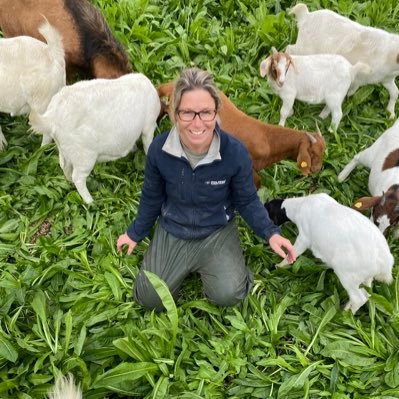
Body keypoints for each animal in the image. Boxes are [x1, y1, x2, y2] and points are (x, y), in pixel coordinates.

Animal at [29, 72, 161, 203]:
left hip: (65, 149)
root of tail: (51, 118)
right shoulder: (149, 126)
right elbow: (148, 144)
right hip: (84, 156)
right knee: (78, 177)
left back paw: (69, 182)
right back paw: (90, 201)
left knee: (64, 165)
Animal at [158, 81, 326, 189]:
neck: (267, 138)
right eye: (312, 152)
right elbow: (256, 185)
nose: (317, 169)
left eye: (324, 151)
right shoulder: (249, 168)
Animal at [266, 195, 394, 316]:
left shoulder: (304, 238)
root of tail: (386, 263)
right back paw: (347, 308)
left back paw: (343, 315)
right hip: (365, 278)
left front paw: (278, 266)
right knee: (366, 294)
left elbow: (293, 252)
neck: (299, 206)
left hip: (347, 275)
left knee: (359, 299)